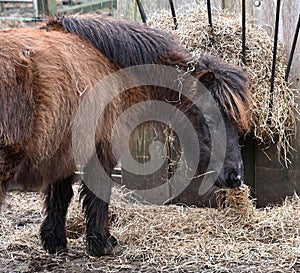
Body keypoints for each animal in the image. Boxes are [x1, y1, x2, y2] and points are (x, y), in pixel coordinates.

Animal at [0, 13, 251, 256]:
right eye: (210, 118)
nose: (236, 175)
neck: (111, 65)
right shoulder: (101, 149)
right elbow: (97, 194)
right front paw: (101, 243)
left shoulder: (63, 152)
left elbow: (60, 196)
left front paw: (55, 241)